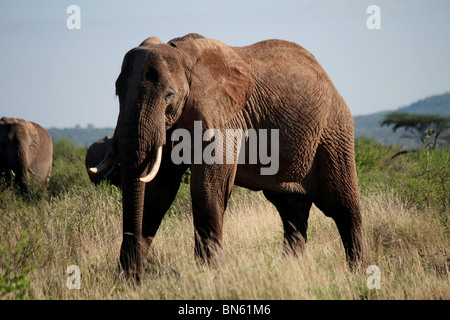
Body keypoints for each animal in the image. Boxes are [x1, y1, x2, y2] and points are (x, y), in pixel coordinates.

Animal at [90, 33, 370, 280]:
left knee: (344, 208)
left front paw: (209, 278)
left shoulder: (224, 118)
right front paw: (127, 283)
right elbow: (158, 192)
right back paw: (292, 272)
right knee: (292, 212)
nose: (135, 277)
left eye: (169, 96)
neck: (182, 56)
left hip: (333, 133)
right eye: (117, 94)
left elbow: (208, 188)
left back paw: (361, 276)